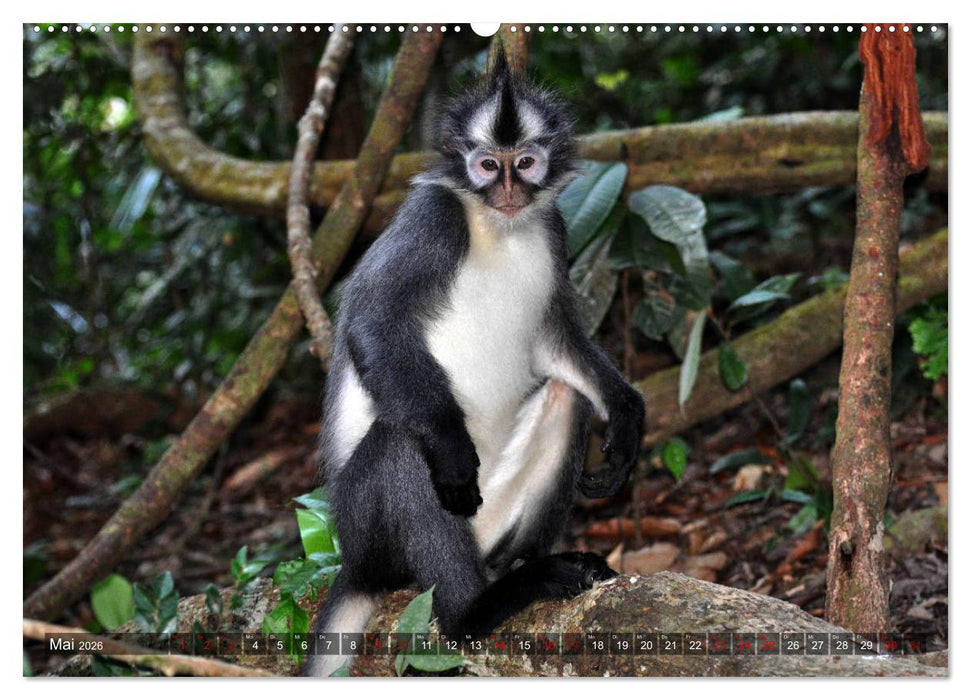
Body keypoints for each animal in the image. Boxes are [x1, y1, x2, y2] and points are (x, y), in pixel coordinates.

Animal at [303, 49, 645, 677]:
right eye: (487, 166)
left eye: (525, 163)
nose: (509, 187)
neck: (498, 225)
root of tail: (354, 567)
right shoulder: (434, 218)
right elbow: (374, 323)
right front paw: (452, 446)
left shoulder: (553, 229)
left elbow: (556, 341)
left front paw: (627, 418)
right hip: (369, 531)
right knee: (400, 442)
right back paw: (473, 610)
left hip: (491, 522)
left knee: (564, 394)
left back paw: (527, 568)